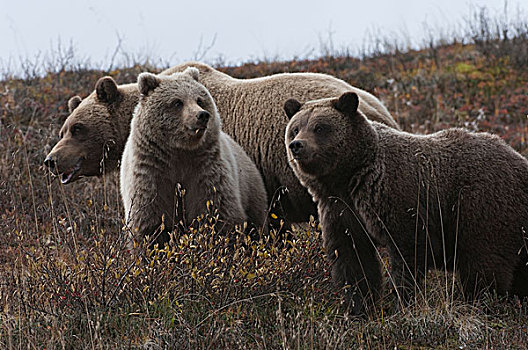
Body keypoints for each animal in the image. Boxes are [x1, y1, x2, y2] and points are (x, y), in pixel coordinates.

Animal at [120, 67, 268, 242]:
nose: (202, 115)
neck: (179, 151)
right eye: (177, 102)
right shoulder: (152, 173)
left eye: (199, 100)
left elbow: (217, 213)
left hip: (251, 190)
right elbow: (149, 222)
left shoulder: (204, 170)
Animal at [284, 91, 528, 314]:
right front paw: (358, 307)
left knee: (483, 264)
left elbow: (407, 255)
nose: (297, 145)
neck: (350, 177)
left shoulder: (399, 199)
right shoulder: (340, 209)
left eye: (320, 127)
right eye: (295, 128)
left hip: (482, 206)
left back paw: (481, 303)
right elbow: (352, 259)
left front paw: (402, 302)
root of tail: (520, 160)